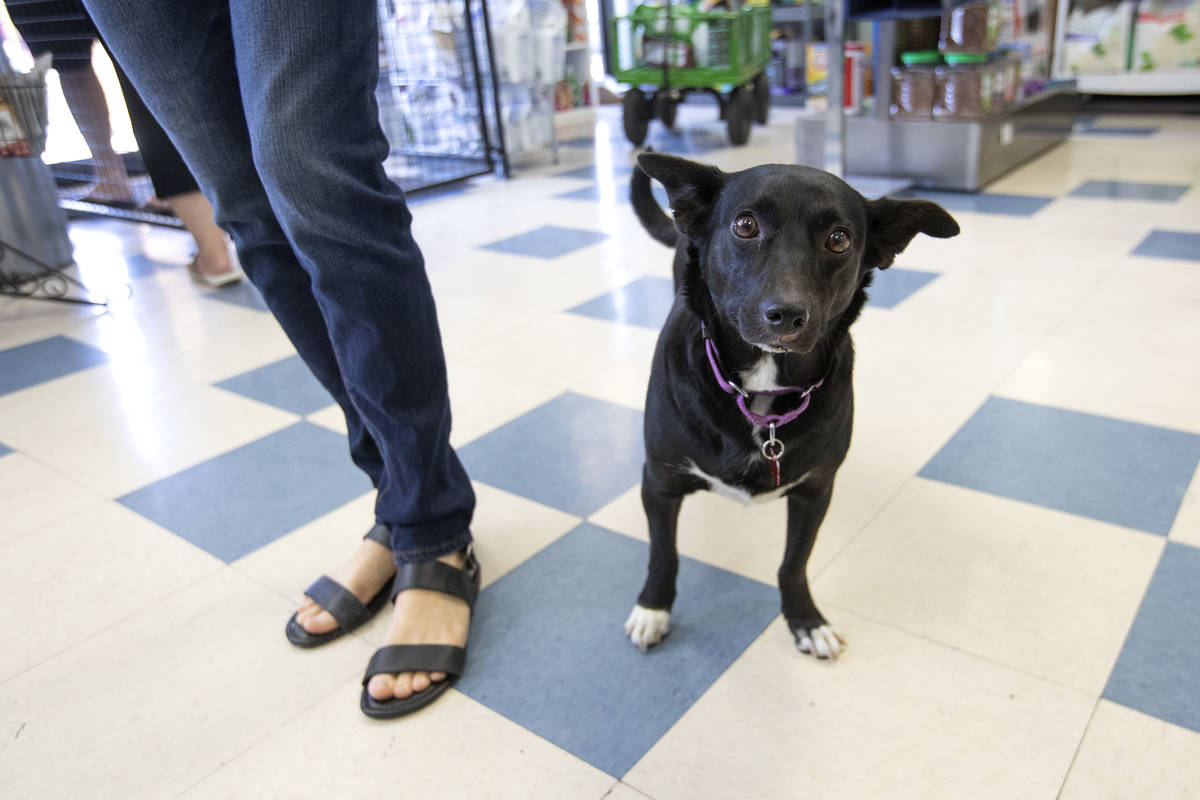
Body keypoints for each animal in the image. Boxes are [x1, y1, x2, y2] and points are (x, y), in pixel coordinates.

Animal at [628, 153, 955, 662]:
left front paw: (805, 620)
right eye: (745, 225)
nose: (786, 315)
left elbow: (793, 562)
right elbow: (664, 553)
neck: (760, 394)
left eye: (839, 239)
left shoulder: (816, 492)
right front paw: (653, 609)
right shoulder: (659, 482)